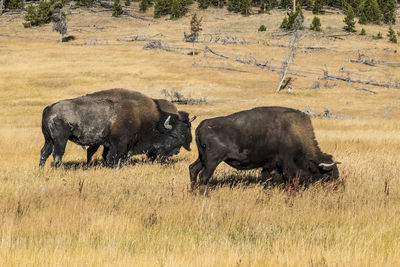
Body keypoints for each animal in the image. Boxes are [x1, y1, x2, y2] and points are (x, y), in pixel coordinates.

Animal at [38, 89, 195, 169]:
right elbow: (112, 158)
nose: (176, 151)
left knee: (44, 152)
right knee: (57, 154)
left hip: (48, 139)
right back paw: (59, 169)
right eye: (174, 135)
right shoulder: (118, 144)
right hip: (60, 140)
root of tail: (49, 108)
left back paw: (42, 169)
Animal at [189, 105, 340, 189]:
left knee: (193, 169)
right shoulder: (286, 164)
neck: (294, 133)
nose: (336, 187)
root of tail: (202, 125)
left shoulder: (269, 165)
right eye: (328, 175)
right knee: (203, 176)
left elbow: (267, 180)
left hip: (202, 158)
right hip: (212, 161)